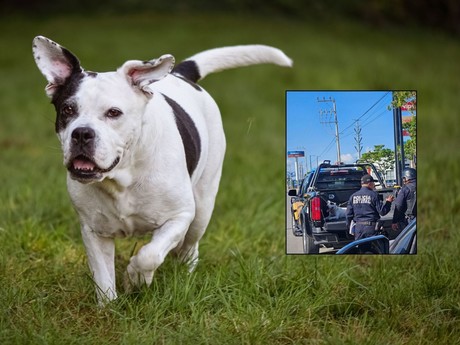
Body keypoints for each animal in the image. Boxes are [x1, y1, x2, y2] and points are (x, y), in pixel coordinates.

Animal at [31, 36, 292, 302]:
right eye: (68, 110)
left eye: (114, 113)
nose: (82, 133)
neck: (123, 177)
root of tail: (179, 74)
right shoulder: (94, 231)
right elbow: (104, 279)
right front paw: (109, 307)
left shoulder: (180, 216)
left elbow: (149, 255)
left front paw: (136, 278)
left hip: (202, 207)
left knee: (189, 246)